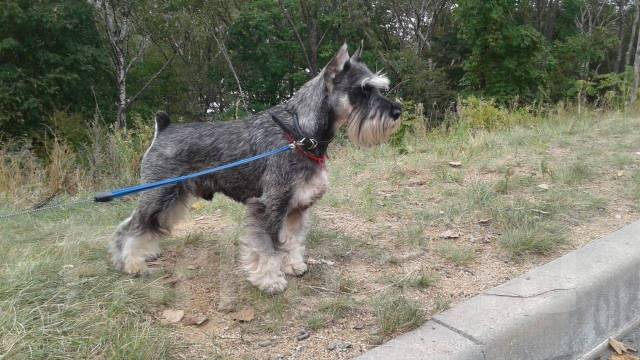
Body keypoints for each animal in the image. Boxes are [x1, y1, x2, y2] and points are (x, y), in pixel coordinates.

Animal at [109, 43, 400, 294]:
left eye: (379, 89)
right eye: (363, 90)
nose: (397, 111)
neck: (299, 133)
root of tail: (164, 128)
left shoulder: (296, 206)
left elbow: (292, 240)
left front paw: (293, 265)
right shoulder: (269, 205)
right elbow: (266, 247)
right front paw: (270, 281)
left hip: (172, 197)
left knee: (140, 224)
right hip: (160, 193)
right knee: (133, 226)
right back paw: (131, 263)